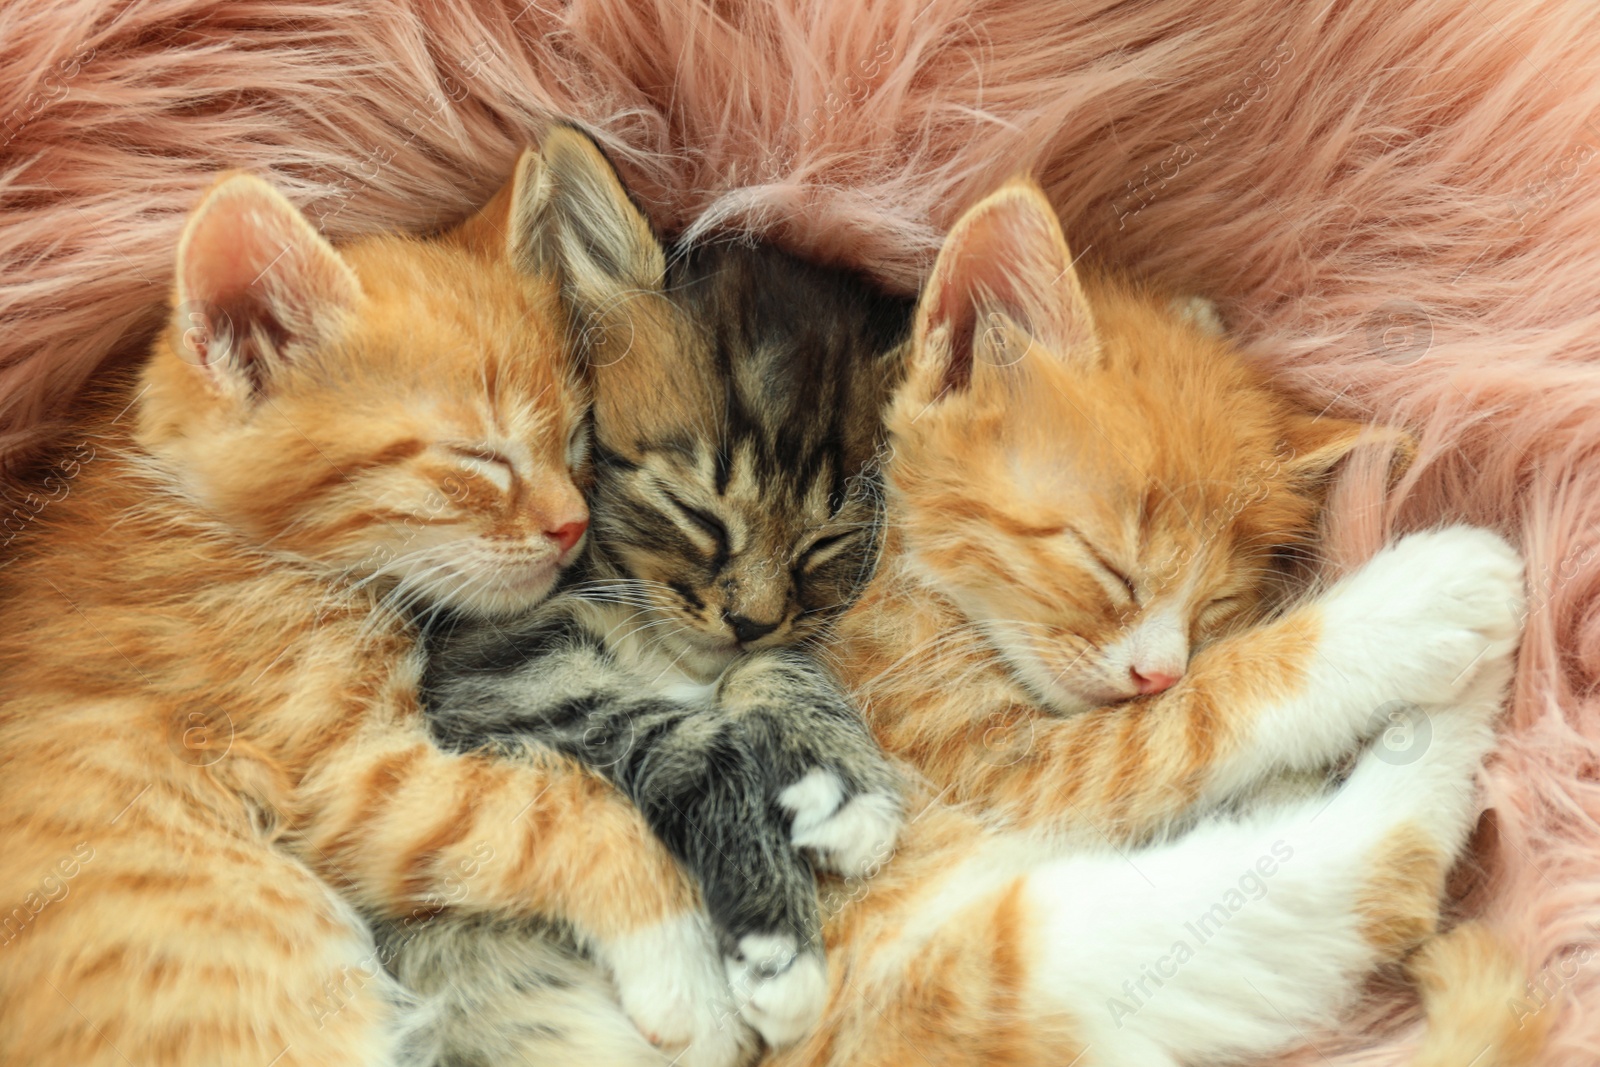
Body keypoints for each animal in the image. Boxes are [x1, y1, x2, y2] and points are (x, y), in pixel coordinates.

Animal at [396, 129, 915, 1062]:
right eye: (695, 512)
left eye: (825, 543)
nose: (748, 617)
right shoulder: (490, 666)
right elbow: (690, 739)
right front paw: (777, 943)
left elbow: (776, 668)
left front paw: (841, 780)